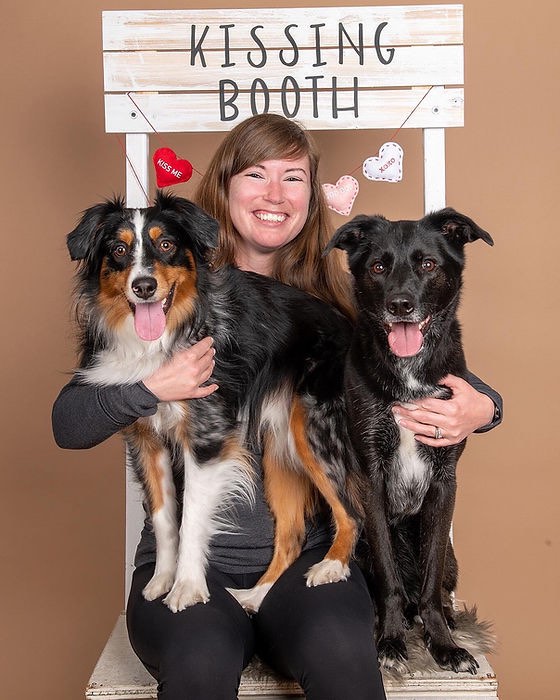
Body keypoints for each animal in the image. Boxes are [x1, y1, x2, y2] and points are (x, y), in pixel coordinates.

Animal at [326, 208, 492, 672]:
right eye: (378, 267)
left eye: (428, 265)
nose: (400, 305)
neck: (410, 373)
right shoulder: (371, 478)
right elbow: (389, 578)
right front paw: (391, 639)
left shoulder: (444, 482)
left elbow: (431, 581)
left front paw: (444, 645)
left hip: (450, 554)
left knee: (437, 584)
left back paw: (448, 620)